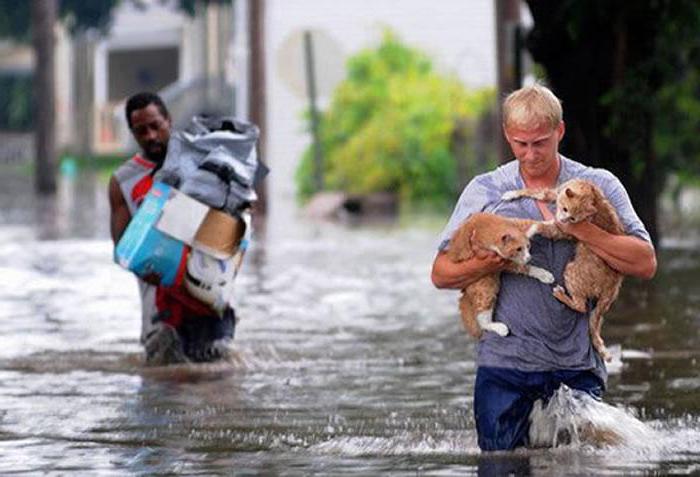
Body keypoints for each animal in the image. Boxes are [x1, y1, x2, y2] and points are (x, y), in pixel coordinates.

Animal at [504, 179, 624, 360]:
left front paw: (531, 228)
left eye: (573, 218)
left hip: (571, 270)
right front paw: (512, 193)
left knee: (581, 306)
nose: (563, 219)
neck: (590, 191)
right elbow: (536, 191)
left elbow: (542, 225)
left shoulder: (567, 231)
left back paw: (561, 295)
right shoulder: (555, 192)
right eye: (566, 209)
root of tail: (613, 286)